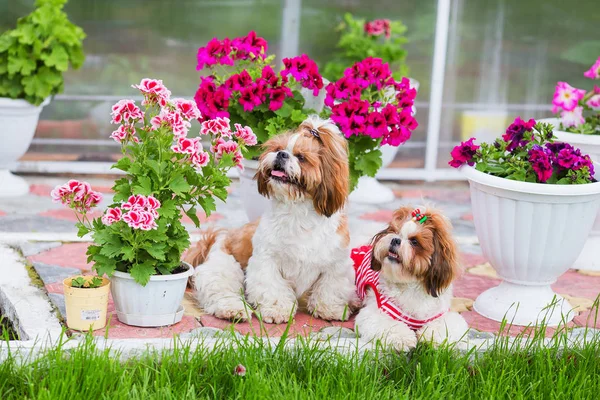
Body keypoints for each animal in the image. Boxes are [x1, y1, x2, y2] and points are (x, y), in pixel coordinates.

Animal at [186, 114, 356, 324]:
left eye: (301, 157)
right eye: (277, 149)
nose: (282, 155)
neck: (298, 212)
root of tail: (219, 237)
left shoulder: (336, 264)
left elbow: (331, 286)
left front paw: (331, 309)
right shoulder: (266, 261)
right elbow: (272, 287)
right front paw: (277, 310)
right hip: (223, 266)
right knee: (221, 290)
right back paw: (232, 309)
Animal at [352, 206, 468, 350]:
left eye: (414, 241)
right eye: (394, 232)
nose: (395, 239)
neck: (410, 285)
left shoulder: (443, 314)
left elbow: (446, 326)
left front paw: (430, 339)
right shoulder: (373, 313)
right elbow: (391, 325)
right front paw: (404, 338)